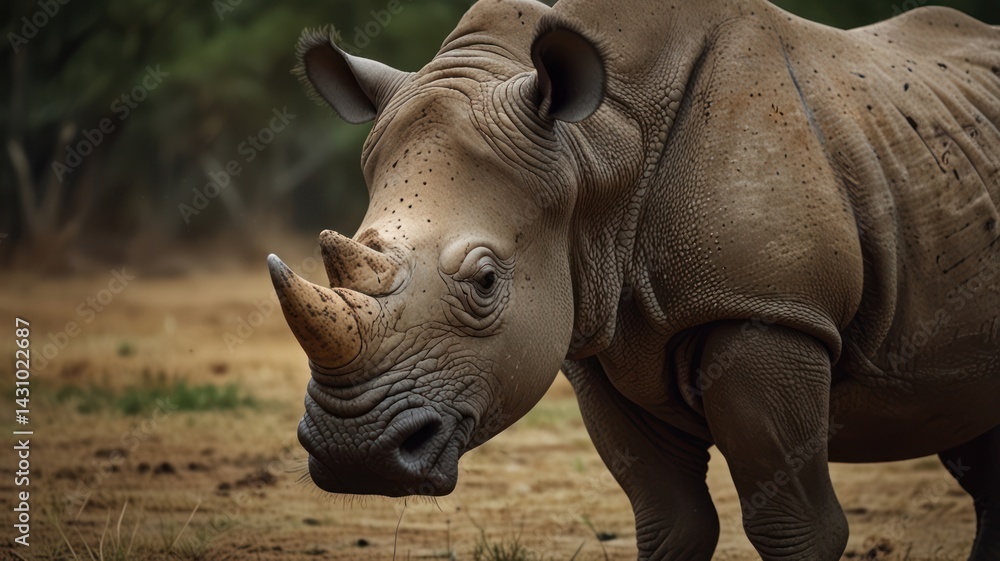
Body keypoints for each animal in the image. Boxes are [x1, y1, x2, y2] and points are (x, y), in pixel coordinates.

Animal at [267, 0, 1000, 559]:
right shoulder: (592, 335)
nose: (353, 451)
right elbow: (672, 521)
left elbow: (795, 527)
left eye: (485, 282)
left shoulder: (769, 309)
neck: (594, 149)